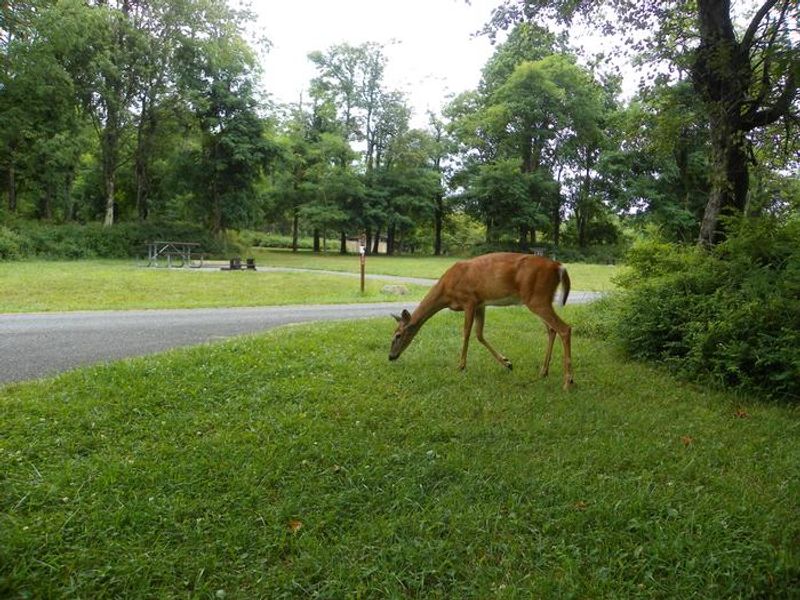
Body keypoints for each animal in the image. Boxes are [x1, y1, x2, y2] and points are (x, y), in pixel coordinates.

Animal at [389, 252, 574, 390]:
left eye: (397, 335)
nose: (391, 356)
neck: (446, 291)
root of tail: (560, 267)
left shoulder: (469, 300)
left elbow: (466, 333)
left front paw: (461, 366)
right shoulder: (481, 304)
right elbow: (479, 334)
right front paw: (507, 363)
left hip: (537, 298)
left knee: (565, 328)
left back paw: (568, 381)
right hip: (540, 299)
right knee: (551, 329)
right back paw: (544, 372)